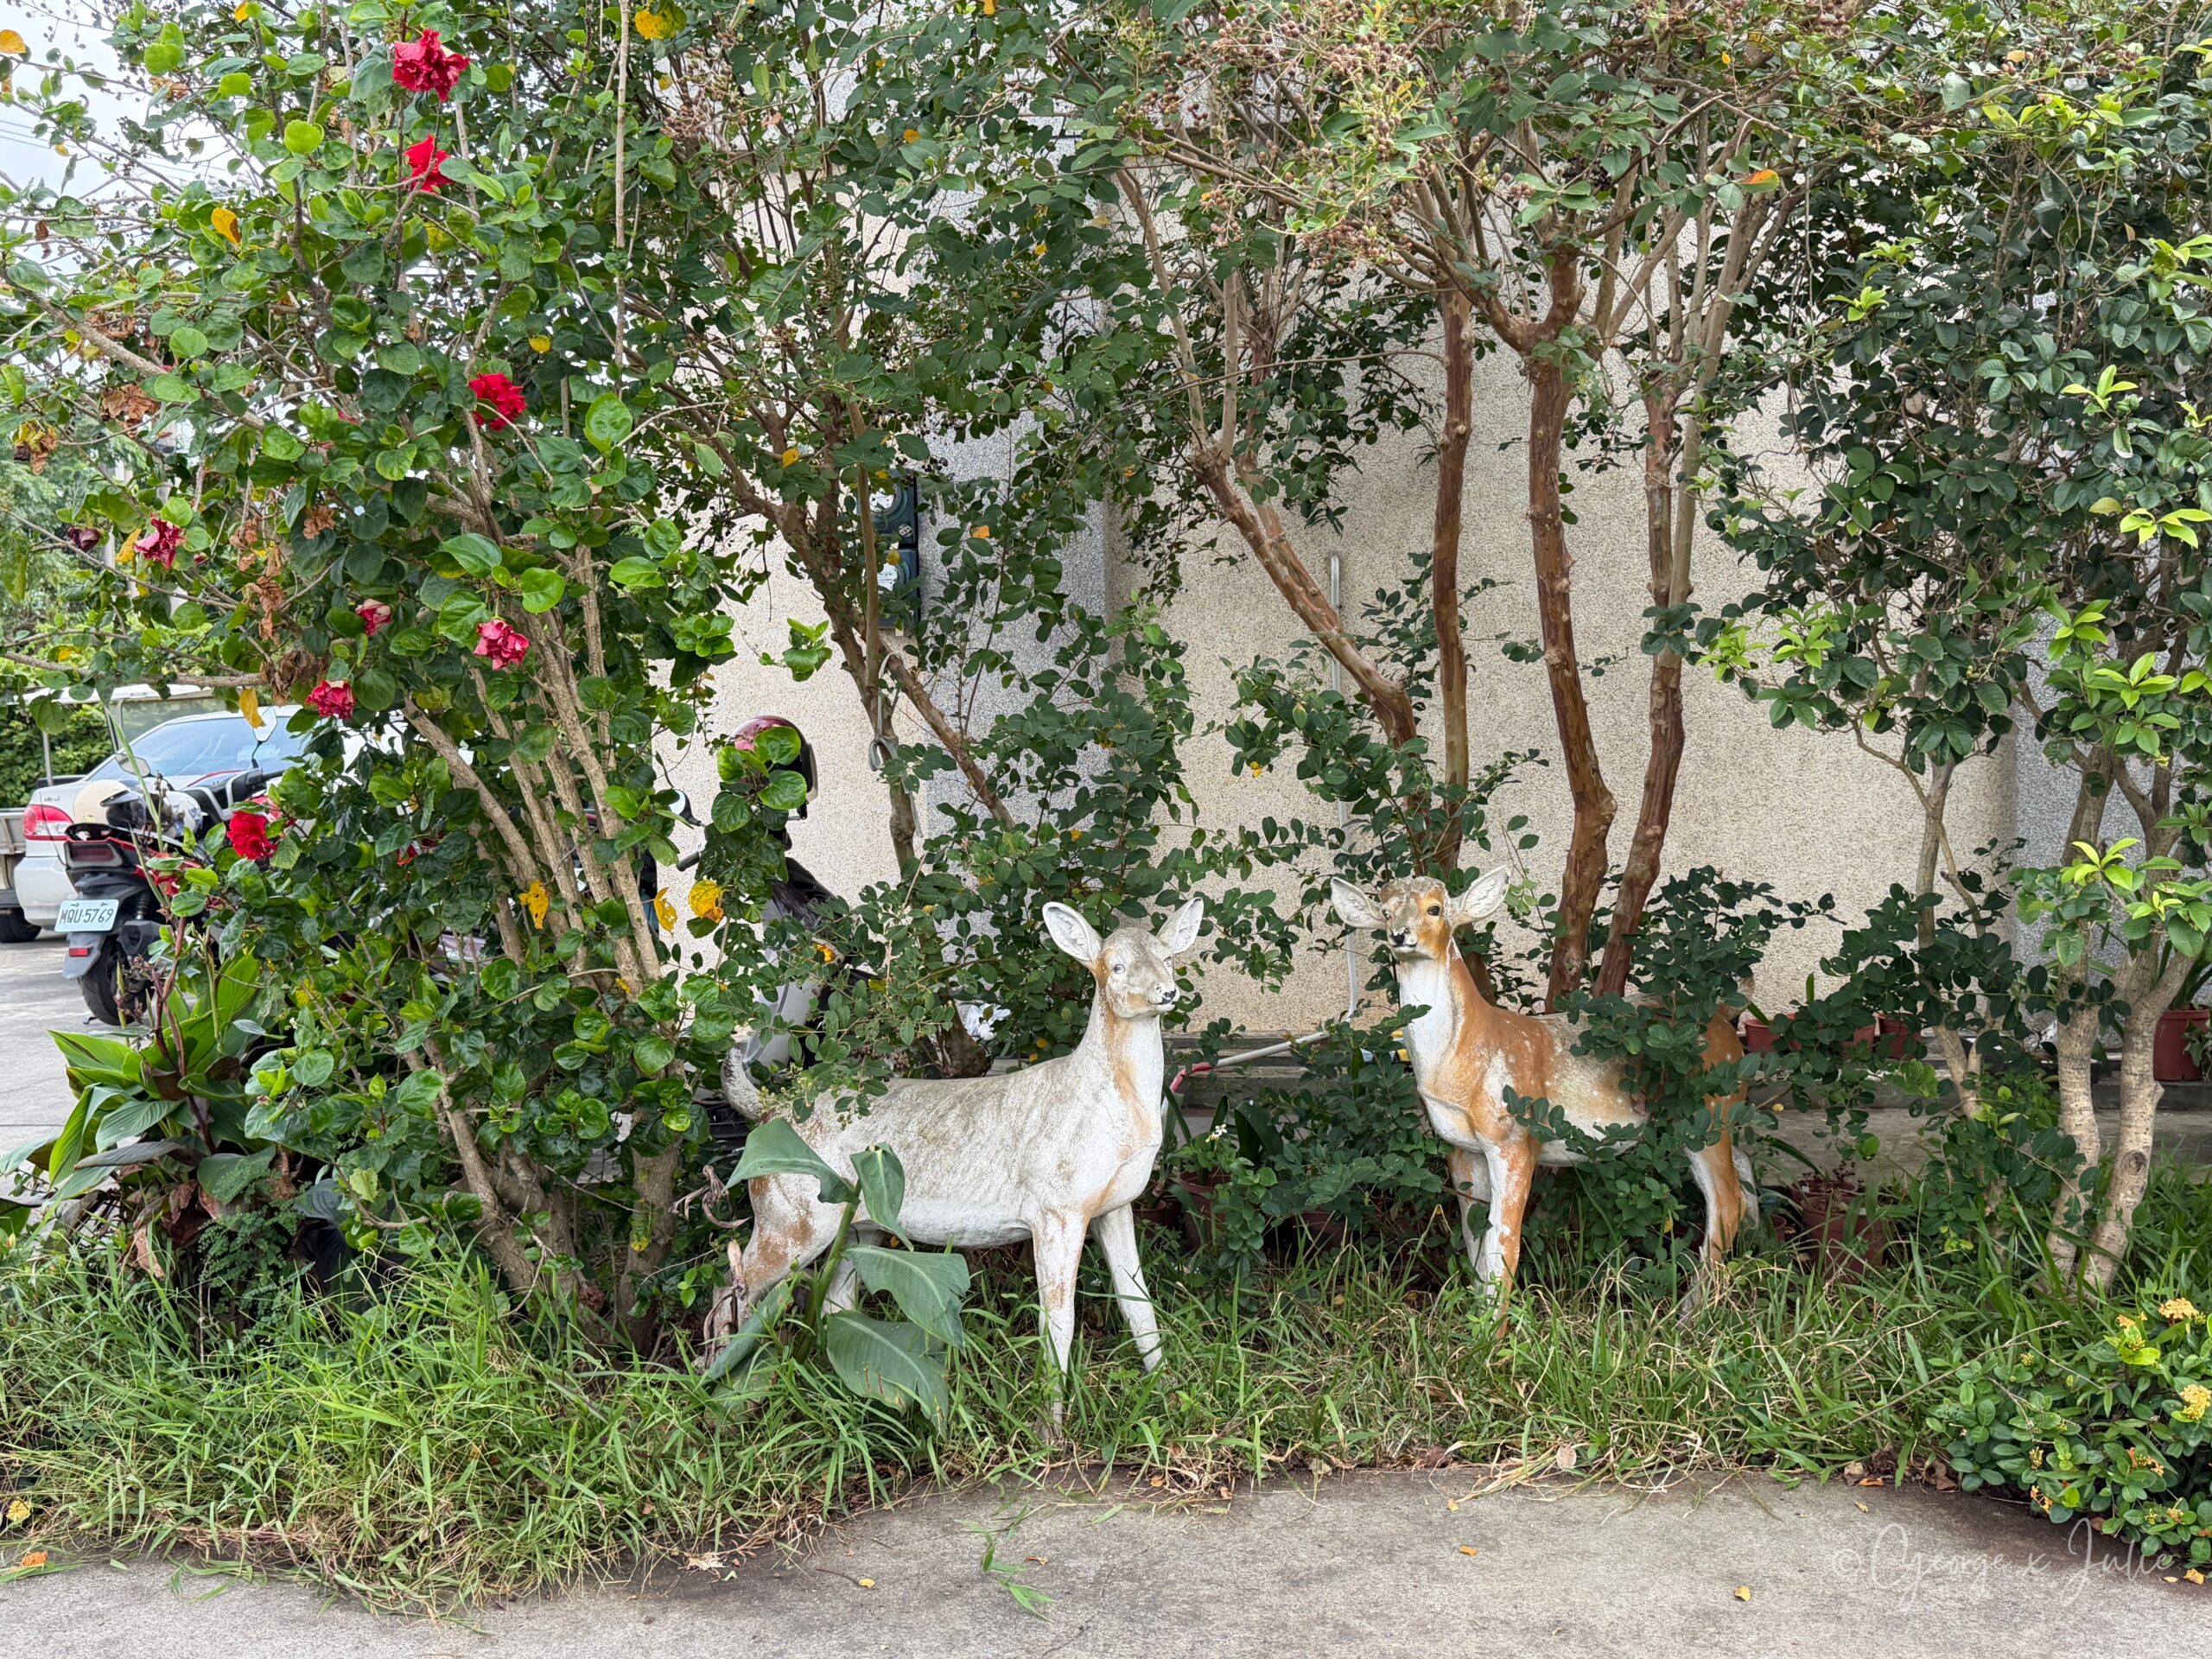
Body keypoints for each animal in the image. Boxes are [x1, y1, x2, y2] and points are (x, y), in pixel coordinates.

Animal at [714, 897, 1205, 1413]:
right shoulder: (1056, 1209)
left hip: (857, 1226)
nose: (1167, 992)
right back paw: (721, 1390)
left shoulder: (1114, 1205)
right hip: (791, 1217)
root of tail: (767, 1109)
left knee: (835, 1304)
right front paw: (1049, 1422)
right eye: (1115, 966)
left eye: (1168, 958)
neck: (1114, 1111)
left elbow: (1138, 1306)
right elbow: (1058, 1322)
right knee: (733, 1286)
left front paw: (1168, 1390)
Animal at [1330, 868, 1755, 1299]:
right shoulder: (1461, 1148)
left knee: (1726, 1201)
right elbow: (1474, 1240)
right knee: (1743, 1172)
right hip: (1711, 1119)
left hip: (1707, 1110)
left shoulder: (1514, 1138)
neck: (1461, 1059)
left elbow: (1504, 1244)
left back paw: (1692, 1308)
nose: (1399, 935)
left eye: (1434, 909)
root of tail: (1725, 1018)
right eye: (1385, 911)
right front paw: (1474, 1313)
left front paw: (1494, 1318)